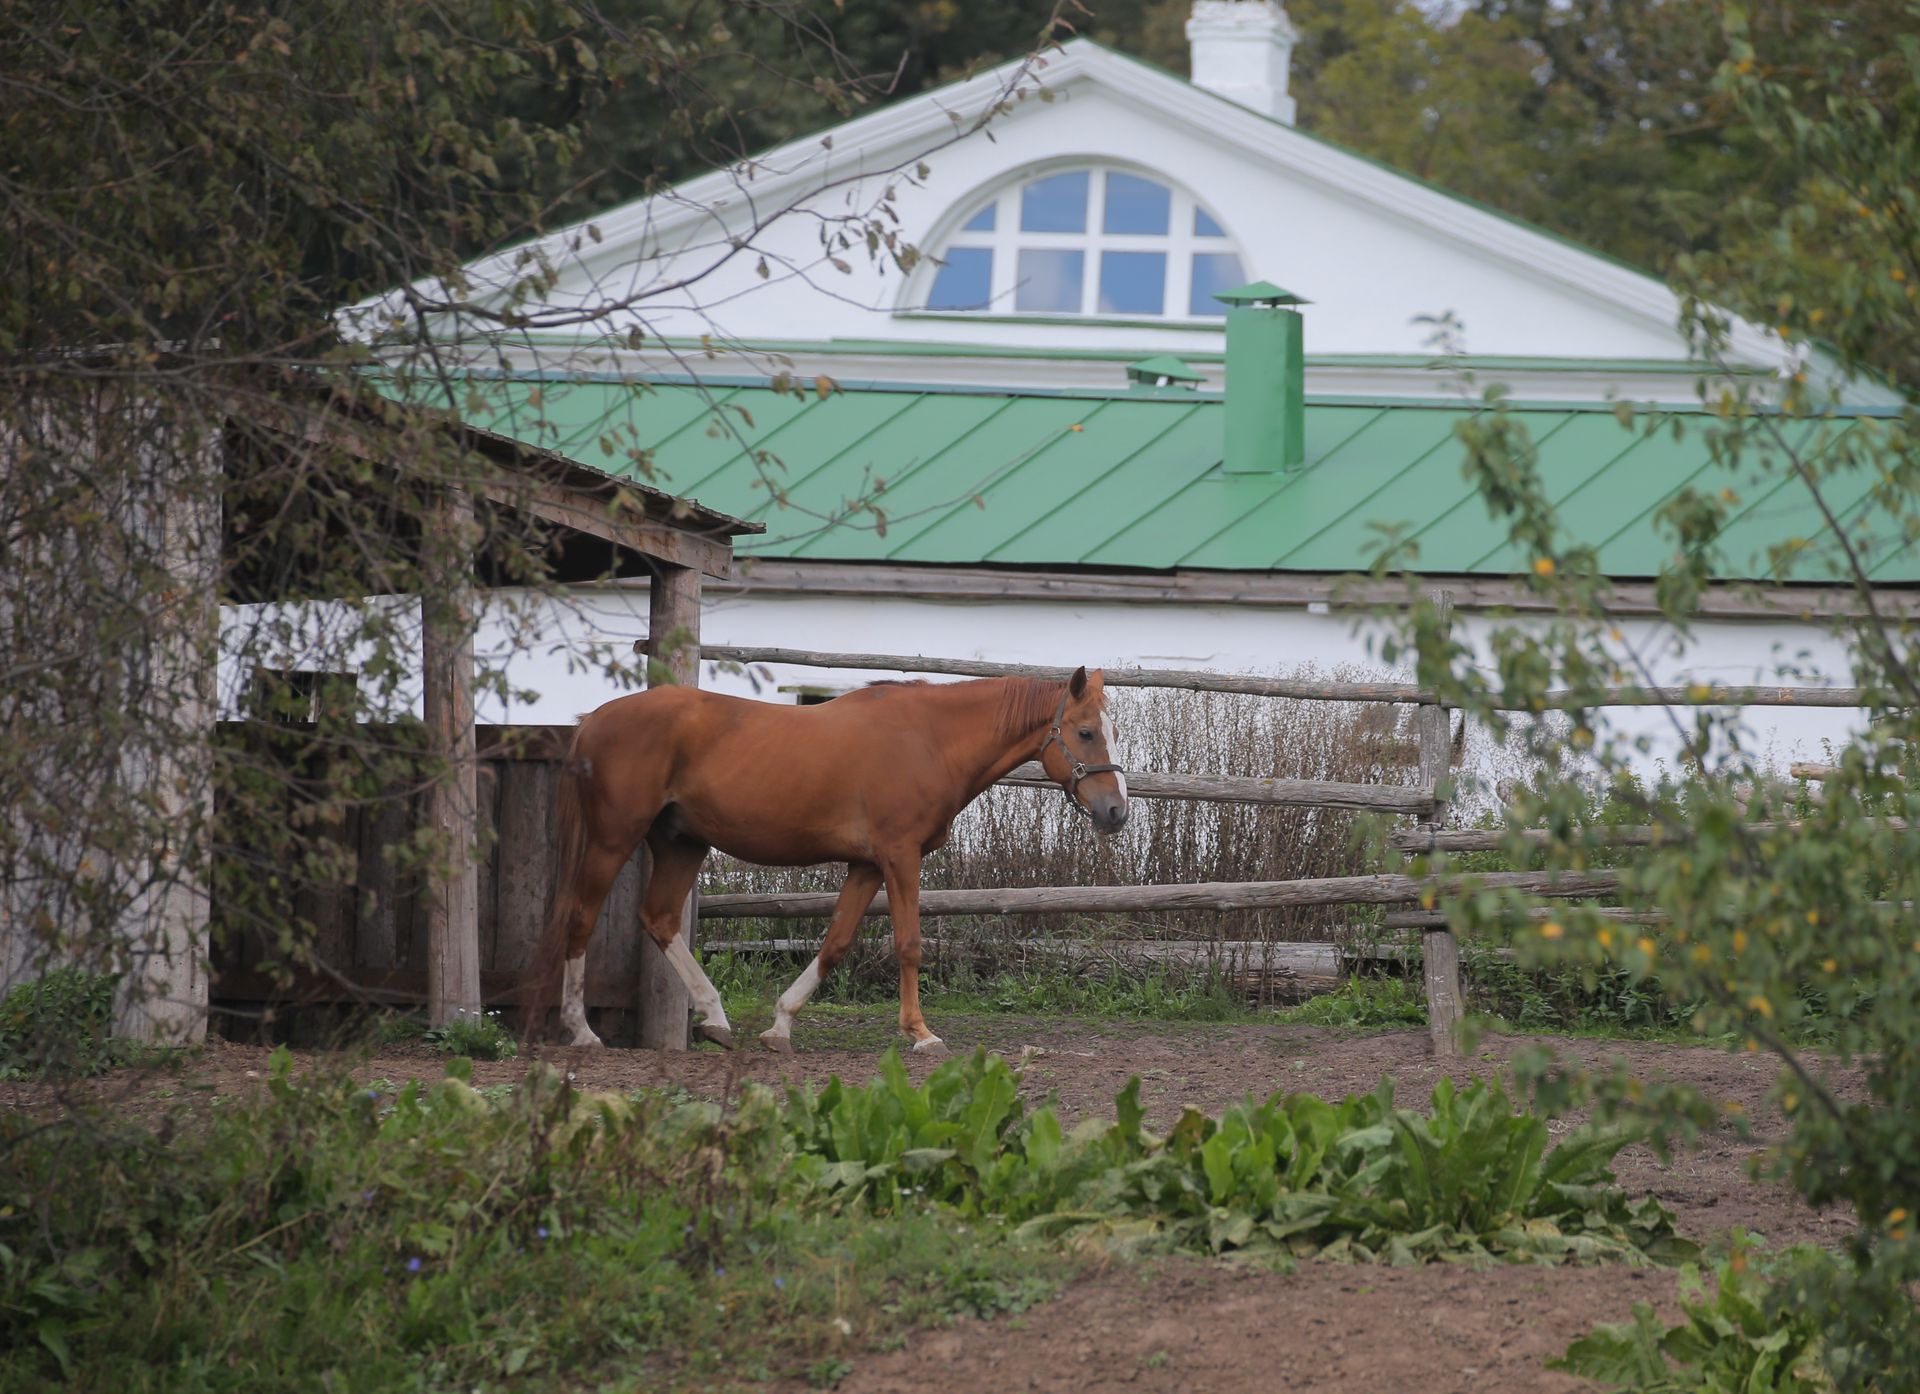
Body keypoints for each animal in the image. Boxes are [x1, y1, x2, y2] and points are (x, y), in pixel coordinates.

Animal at [518, 672, 1128, 1052]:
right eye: (1085, 732)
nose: (1117, 811)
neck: (930, 740)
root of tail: (594, 719)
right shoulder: (899, 856)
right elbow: (910, 943)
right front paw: (921, 1033)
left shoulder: (867, 865)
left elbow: (835, 943)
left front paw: (781, 1026)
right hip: (613, 839)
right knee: (581, 919)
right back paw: (582, 1031)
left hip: (681, 843)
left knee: (660, 919)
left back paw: (715, 1018)